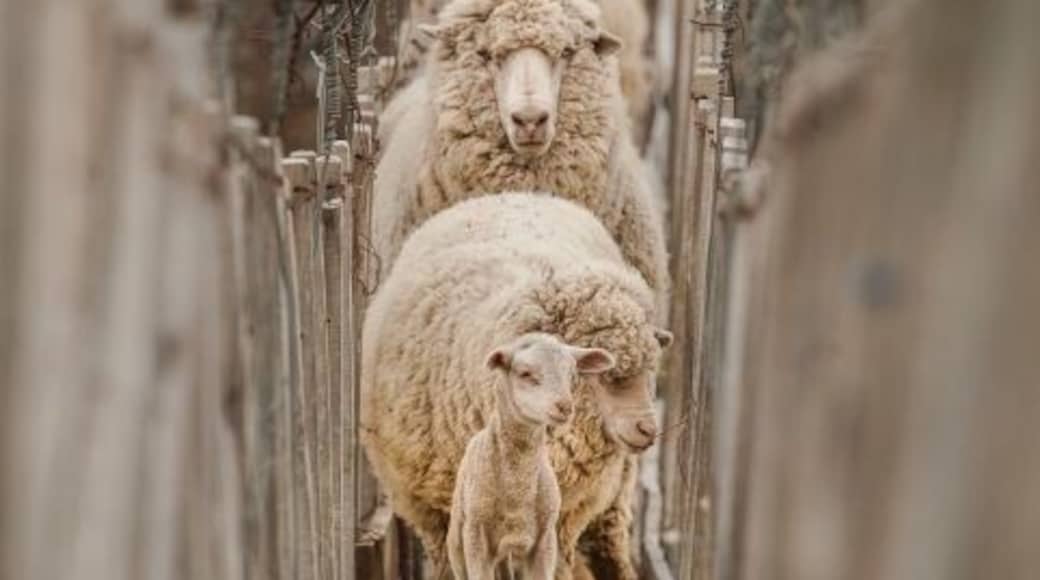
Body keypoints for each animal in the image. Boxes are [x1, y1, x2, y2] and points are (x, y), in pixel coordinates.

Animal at [446, 333, 616, 580]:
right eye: (525, 373)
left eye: (572, 375)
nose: (564, 407)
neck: (516, 493)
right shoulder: (477, 542)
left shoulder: (545, 542)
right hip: (458, 542)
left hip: (504, 554)